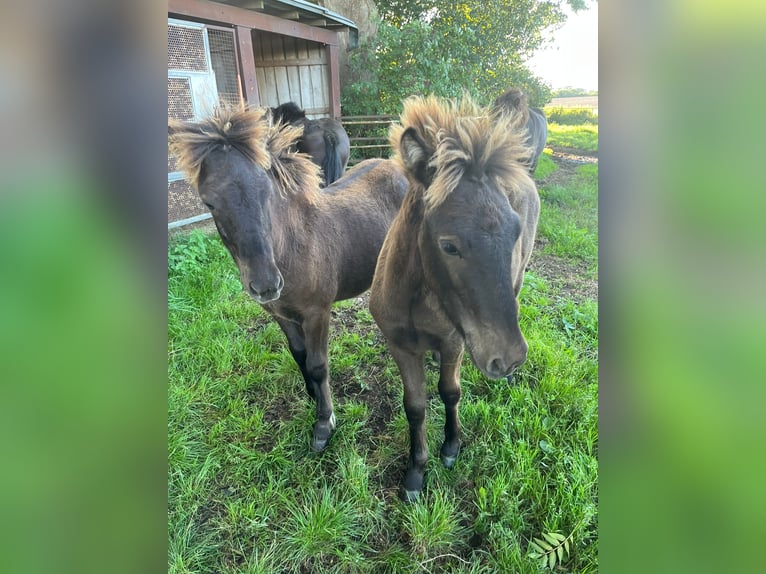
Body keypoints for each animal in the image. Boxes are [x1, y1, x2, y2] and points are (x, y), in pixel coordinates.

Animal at [169, 106, 408, 452]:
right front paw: (311, 395)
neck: (293, 246)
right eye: (209, 202)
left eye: (267, 191)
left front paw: (324, 423)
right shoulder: (279, 313)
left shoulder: (317, 313)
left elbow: (319, 365)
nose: (266, 284)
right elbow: (300, 356)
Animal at [369, 95, 540, 501]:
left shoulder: (455, 342)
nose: (508, 358)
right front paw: (416, 472)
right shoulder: (399, 345)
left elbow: (450, 392)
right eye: (449, 246)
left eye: (514, 232)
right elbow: (415, 406)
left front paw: (450, 447)